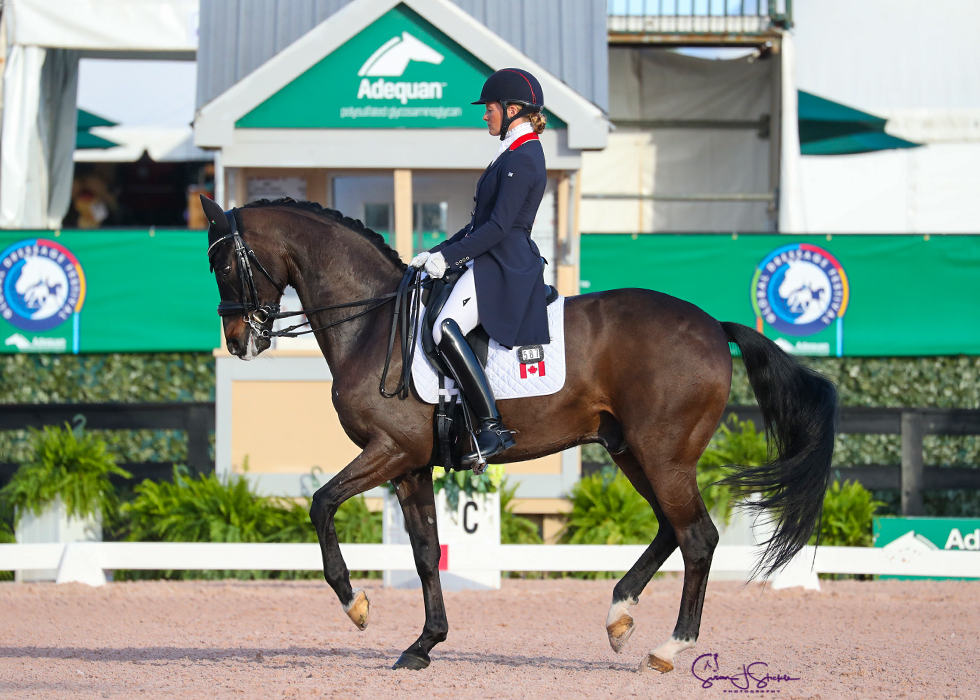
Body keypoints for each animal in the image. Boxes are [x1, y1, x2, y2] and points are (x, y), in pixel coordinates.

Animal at [203, 196, 840, 672]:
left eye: (225, 265)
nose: (239, 341)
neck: (373, 323)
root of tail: (713, 325)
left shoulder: (390, 451)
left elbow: (321, 503)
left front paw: (355, 604)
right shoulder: (411, 464)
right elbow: (426, 552)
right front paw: (424, 644)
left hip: (665, 456)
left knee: (698, 537)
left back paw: (668, 648)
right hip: (633, 452)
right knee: (670, 529)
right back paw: (619, 616)